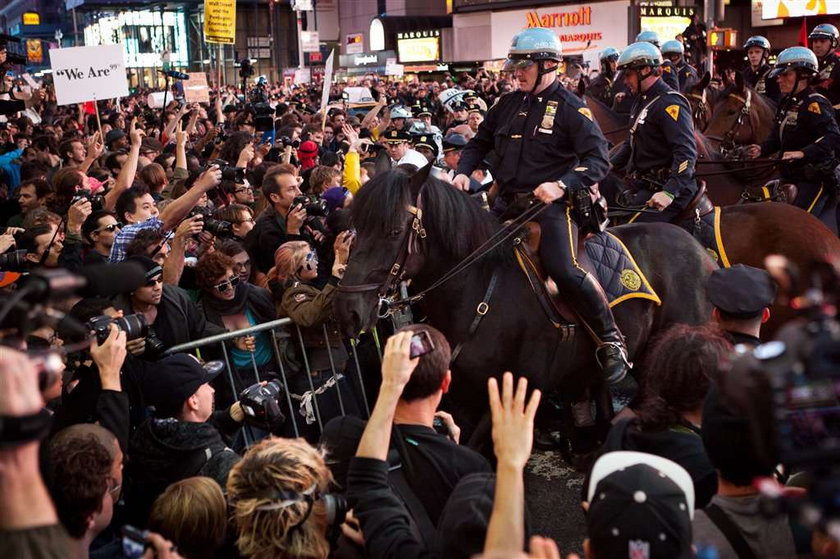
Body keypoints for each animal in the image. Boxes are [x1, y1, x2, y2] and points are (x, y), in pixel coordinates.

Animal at [334, 168, 716, 444]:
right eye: (353, 228)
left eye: (394, 231)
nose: (348, 312)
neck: (478, 290)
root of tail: (700, 251)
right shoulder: (463, 394)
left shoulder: (515, 389)